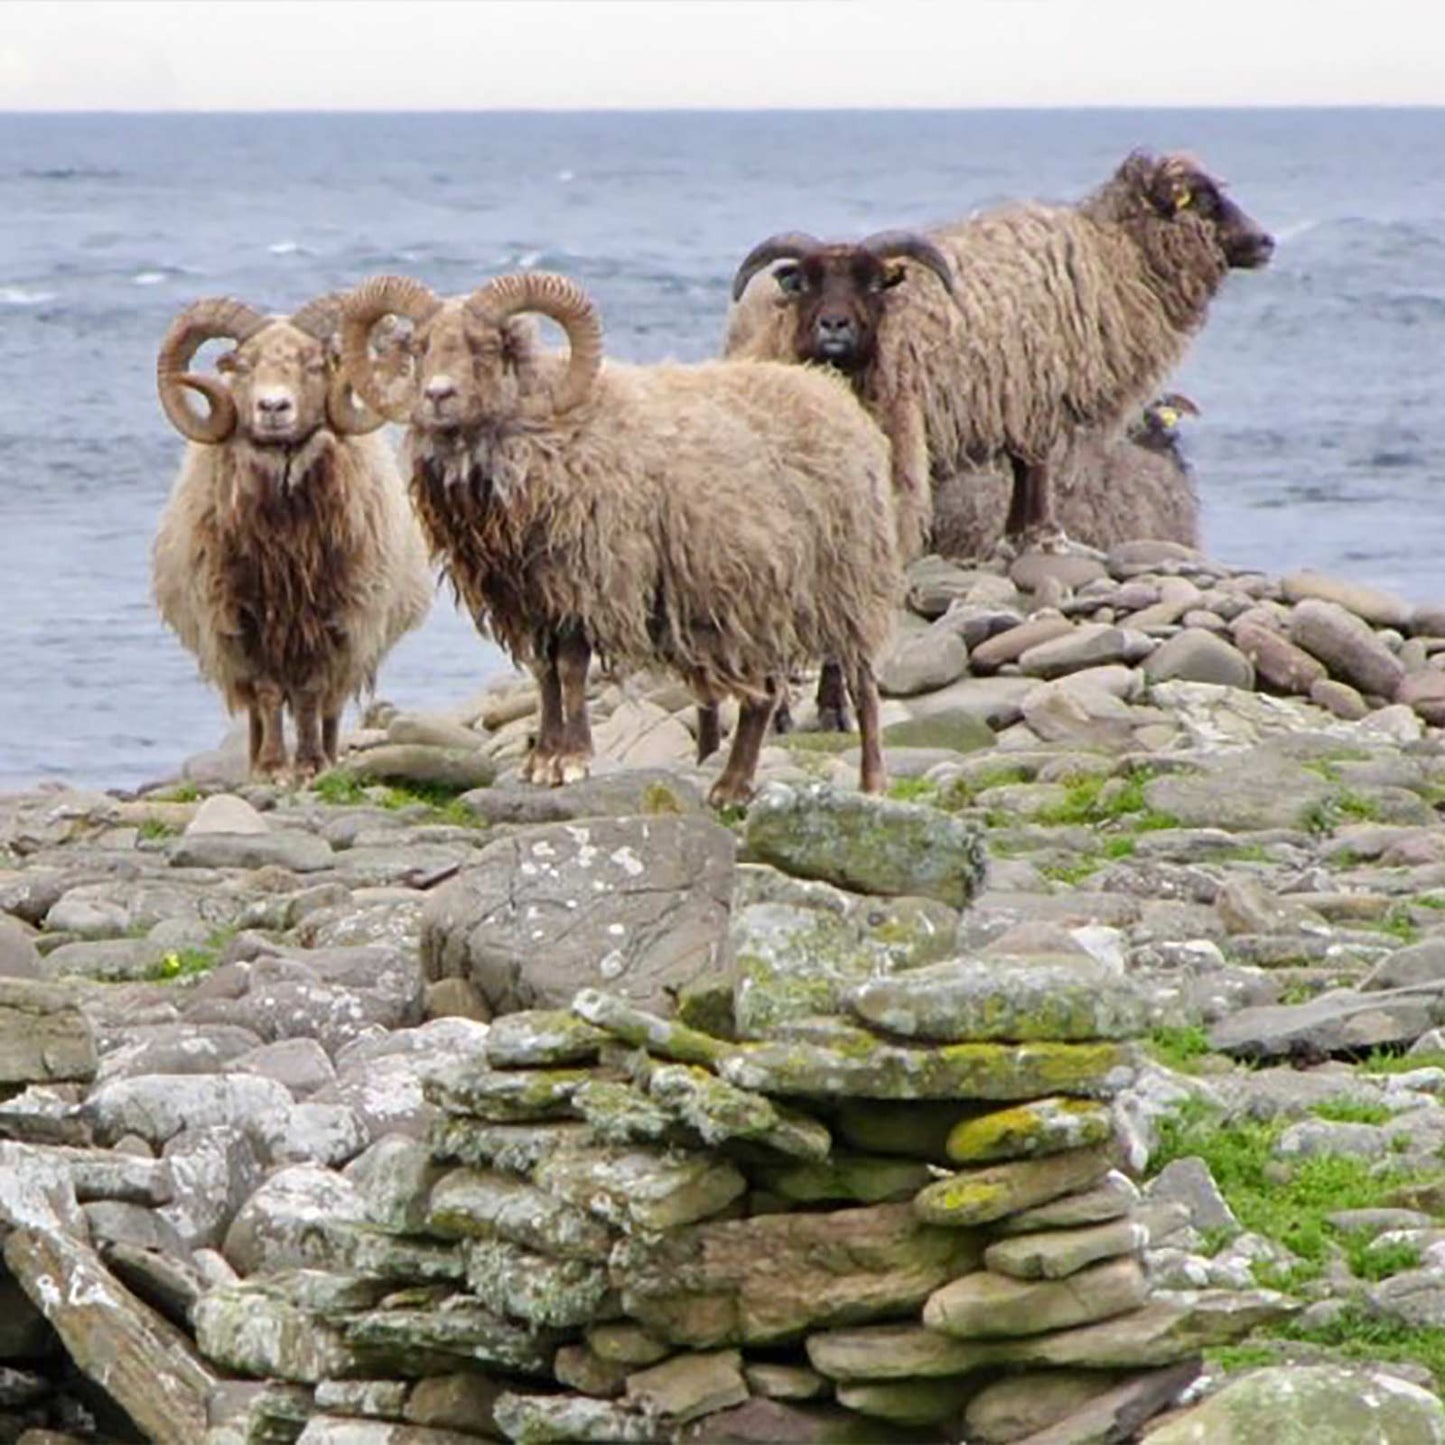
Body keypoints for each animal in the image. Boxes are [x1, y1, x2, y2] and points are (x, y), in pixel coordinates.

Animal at [151, 294, 433, 783]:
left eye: (317, 364)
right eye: (243, 365)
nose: (272, 407)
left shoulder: (333, 622)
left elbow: (309, 694)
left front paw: (310, 764)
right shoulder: (243, 623)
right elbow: (266, 693)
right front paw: (271, 767)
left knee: (330, 708)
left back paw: (329, 755)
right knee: (257, 713)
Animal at [337, 270, 899, 806]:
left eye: (489, 347)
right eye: (419, 347)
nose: (436, 396)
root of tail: (832, 396)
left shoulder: (585, 580)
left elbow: (570, 669)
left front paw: (571, 760)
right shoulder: (529, 596)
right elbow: (543, 673)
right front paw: (541, 760)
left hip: (847, 579)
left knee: (862, 685)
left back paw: (872, 782)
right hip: (751, 603)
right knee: (763, 694)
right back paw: (731, 788)